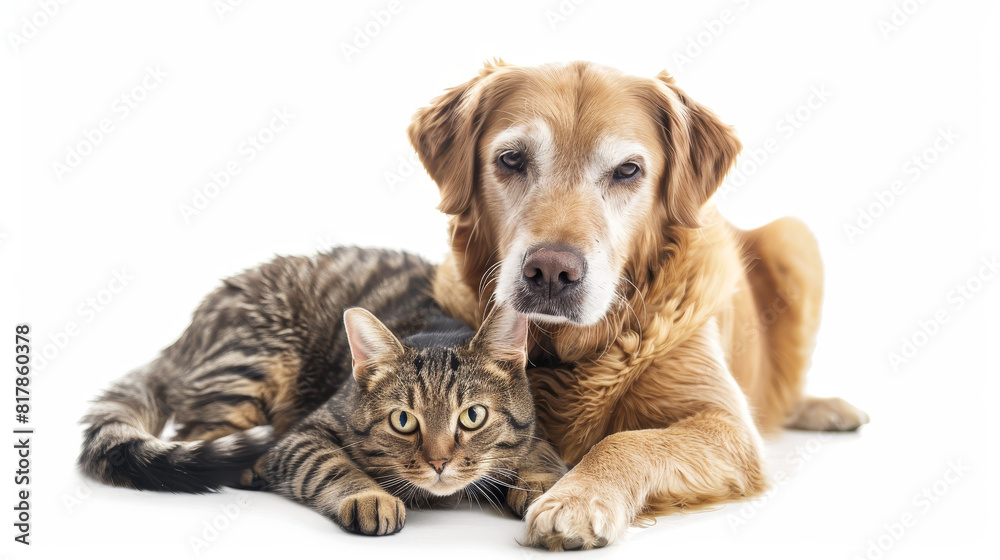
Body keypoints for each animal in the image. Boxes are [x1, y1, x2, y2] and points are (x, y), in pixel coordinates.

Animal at [78, 249, 568, 532]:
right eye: (403, 421)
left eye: (473, 416)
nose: (439, 463)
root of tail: (185, 334)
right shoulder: (303, 435)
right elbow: (331, 466)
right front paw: (370, 495)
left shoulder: (535, 427)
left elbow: (540, 449)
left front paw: (542, 482)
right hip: (255, 361)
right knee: (196, 436)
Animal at [406, 60, 868, 548]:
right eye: (511, 159)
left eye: (627, 170)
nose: (550, 272)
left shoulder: (728, 425)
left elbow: (629, 441)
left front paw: (575, 500)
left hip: (794, 238)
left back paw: (829, 409)